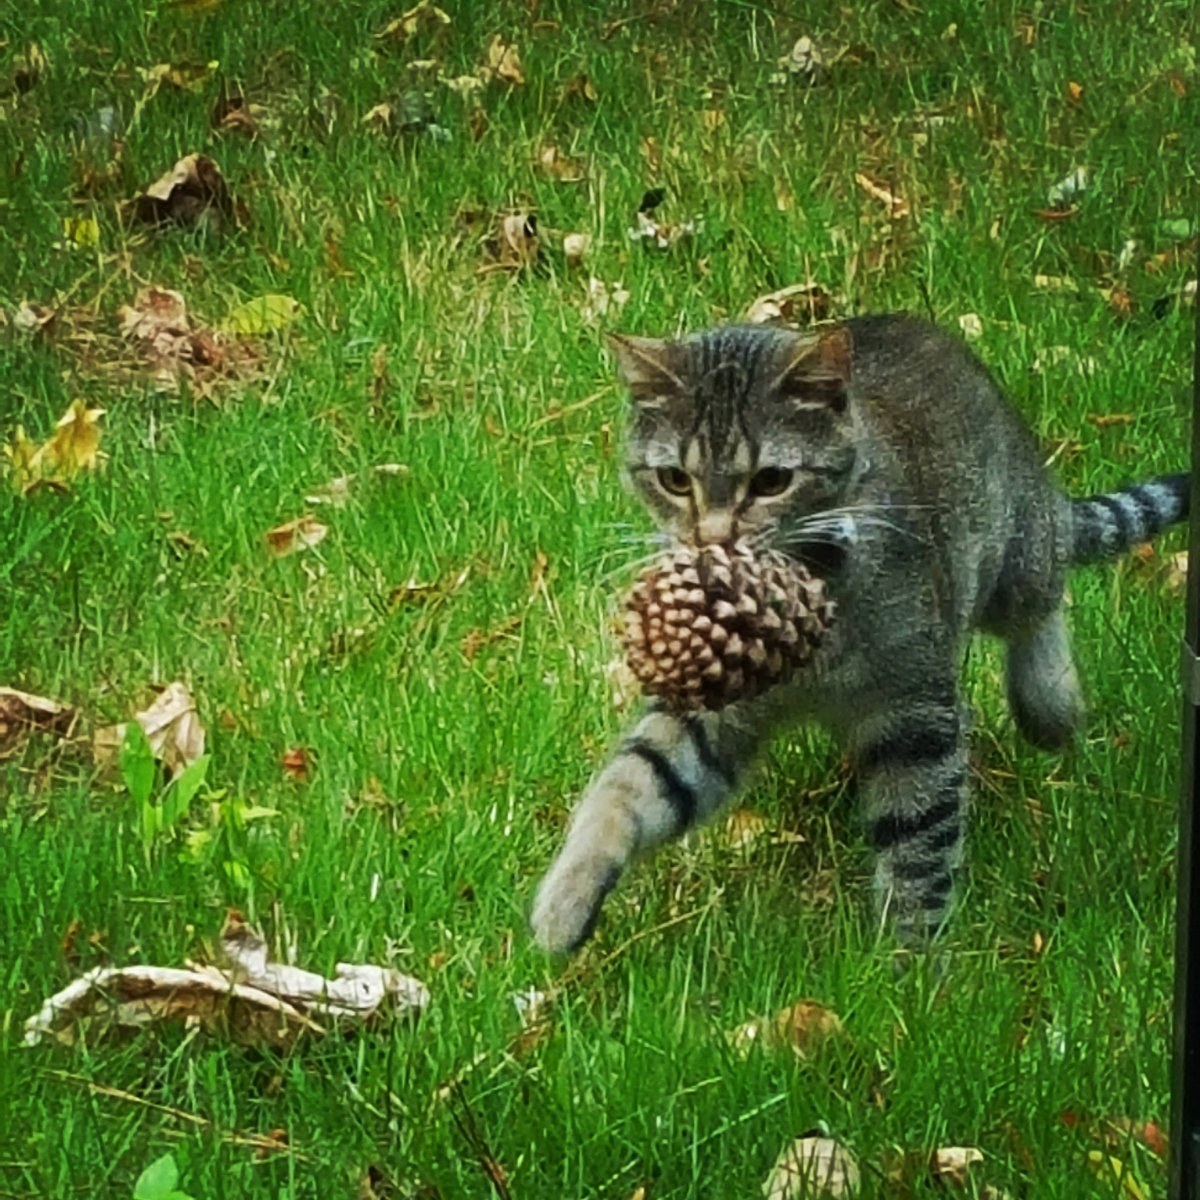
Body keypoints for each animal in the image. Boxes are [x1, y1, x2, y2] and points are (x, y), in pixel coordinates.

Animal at [532, 314, 1190, 950]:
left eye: (771, 480)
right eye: (673, 479)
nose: (712, 539)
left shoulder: (913, 714)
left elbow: (918, 843)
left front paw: (910, 964)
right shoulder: (707, 711)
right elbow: (626, 785)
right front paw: (566, 900)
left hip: (1017, 556)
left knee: (1044, 600)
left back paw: (1051, 705)